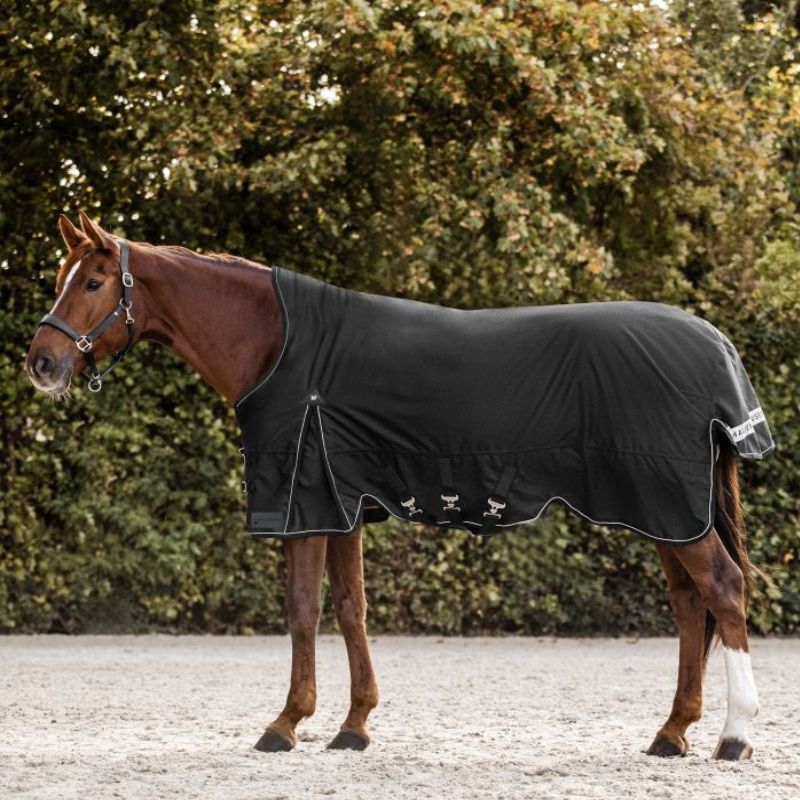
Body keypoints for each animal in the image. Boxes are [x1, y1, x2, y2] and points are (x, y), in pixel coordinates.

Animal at [26, 212, 763, 760]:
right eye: (62, 278)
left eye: (93, 281)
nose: (41, 364)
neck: (280, 345)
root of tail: (715, 345)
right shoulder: (342, 508)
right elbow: (351, 609)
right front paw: (353, 726)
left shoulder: (304, 504)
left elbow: (302, 610)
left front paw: (285, 724)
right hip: (667, 513)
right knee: (690, 604)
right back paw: (672, 732)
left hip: (670, 506)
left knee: (723, 590)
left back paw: (734, 736)